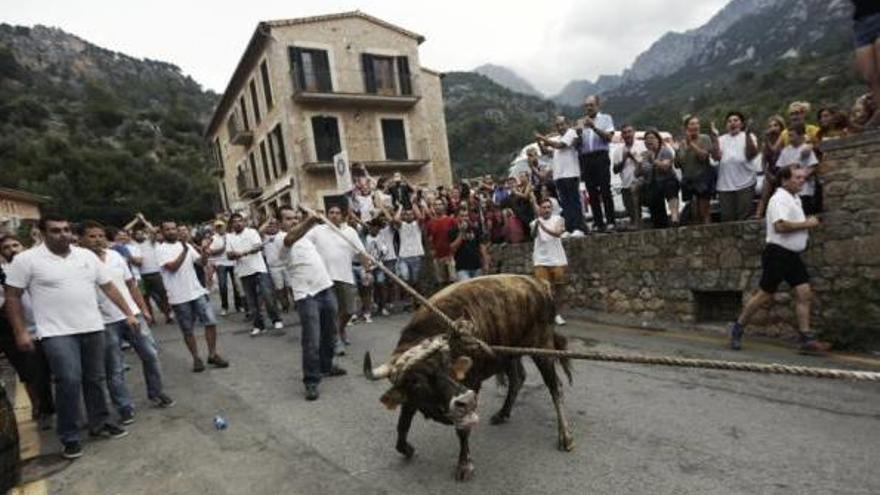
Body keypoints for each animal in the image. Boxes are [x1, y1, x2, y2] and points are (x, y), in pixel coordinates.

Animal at [360, 276, 576, 480]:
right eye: (417, 382)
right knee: (518, 378)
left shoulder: (472, 386)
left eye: (448, 366)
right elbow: (403, 424)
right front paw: (406, 449)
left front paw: (464, 466)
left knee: (555, 386)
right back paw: (503, 413)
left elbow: (462, 431)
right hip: (507, 354)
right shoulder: (411, 397)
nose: (465, 399)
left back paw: (565, 437)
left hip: (542, 348)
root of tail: (539, 284)